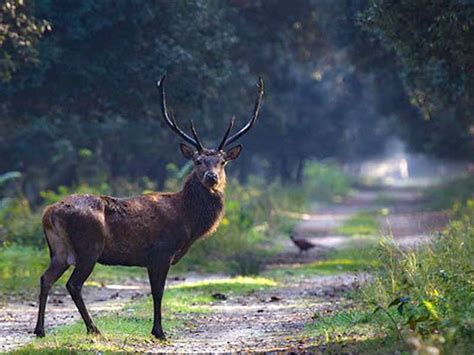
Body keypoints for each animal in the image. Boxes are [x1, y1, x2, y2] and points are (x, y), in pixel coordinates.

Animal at [33, 75, 262, 340]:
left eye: (222, 161)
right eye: (198, 161)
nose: (211, 177)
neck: (188, 221)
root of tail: (49, 213)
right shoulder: (161, 251)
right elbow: (158, 292)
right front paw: (159, 331)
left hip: (59, 250)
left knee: (45, 278)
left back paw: (40, 330)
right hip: (89, 247)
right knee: (73, 284)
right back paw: (93, 329)